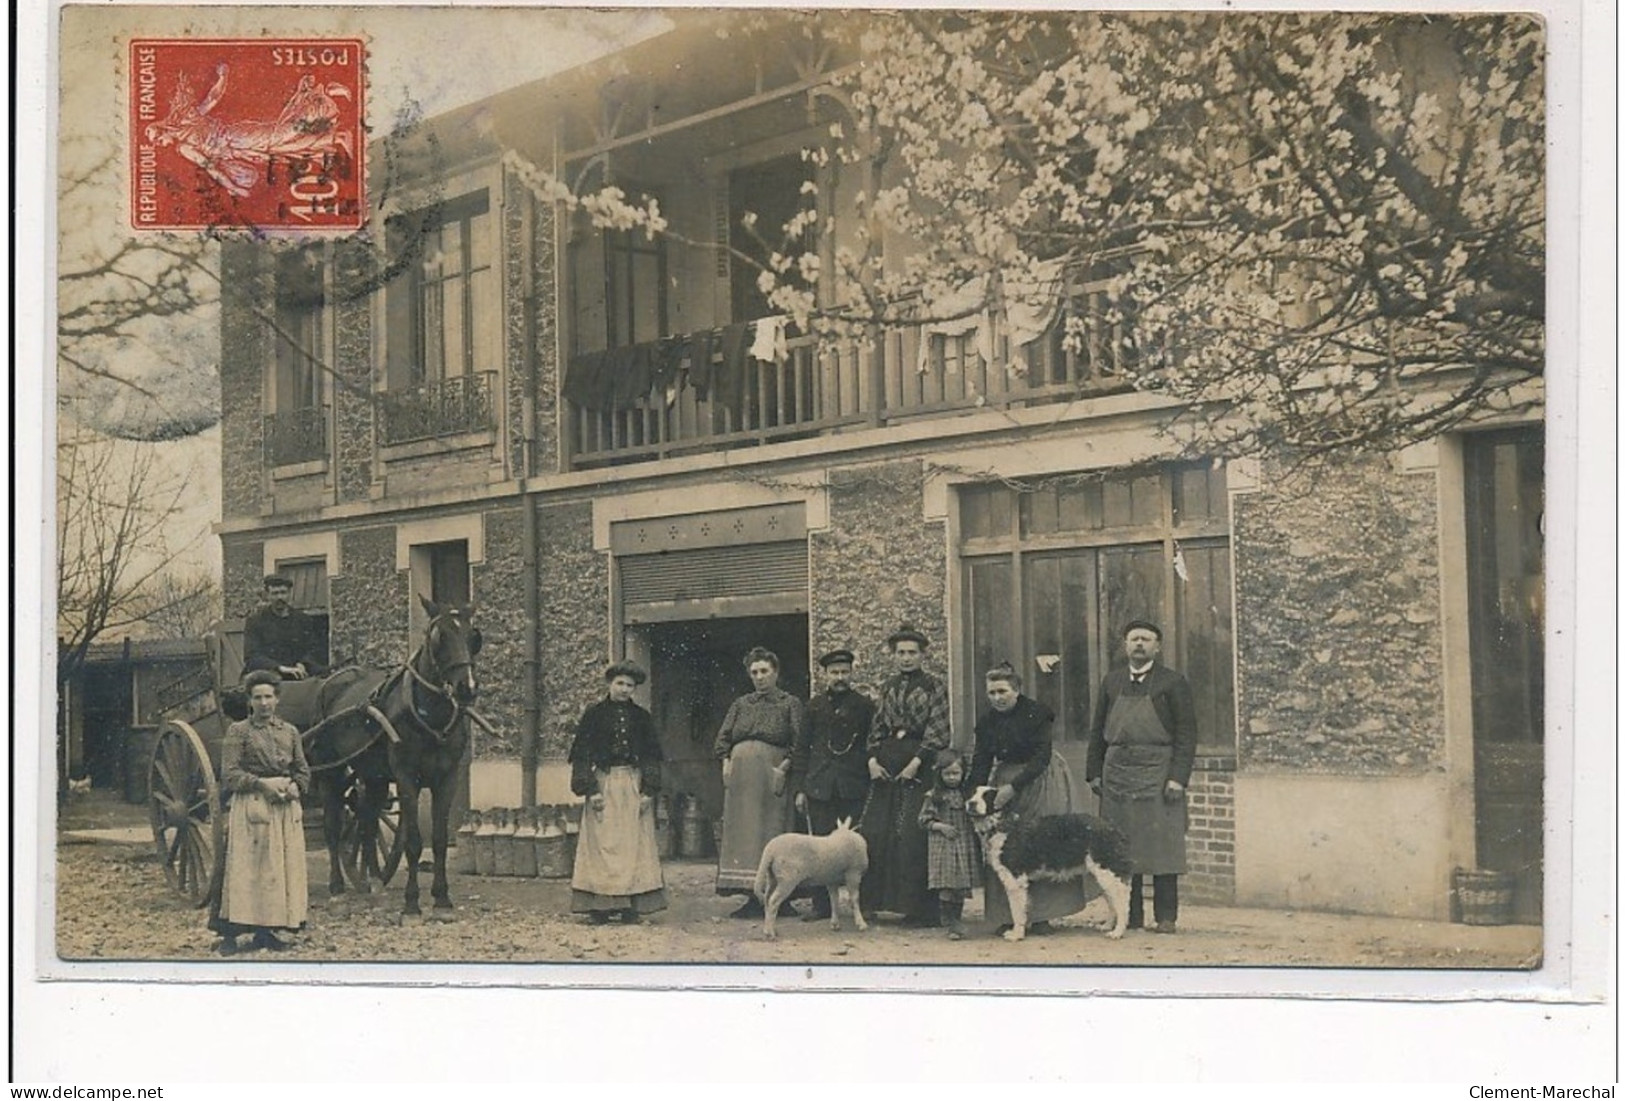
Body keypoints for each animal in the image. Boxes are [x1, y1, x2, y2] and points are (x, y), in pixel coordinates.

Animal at [300, 600, 481, 915]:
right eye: (439, 637)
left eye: (474, 636)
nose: (466, 687)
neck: (428, 715)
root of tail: (329, 681)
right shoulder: (407, 777)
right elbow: (413, 841)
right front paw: (411, 901)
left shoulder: (448, 778)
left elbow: (439, 838)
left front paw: (441, 897)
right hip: (329, 772)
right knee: (333, 826)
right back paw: (337, 885)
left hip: (373, 777)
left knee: (367, 822)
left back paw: (373, 881)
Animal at [962, 785, 1131, 948]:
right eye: (972, 793)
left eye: (987, 796)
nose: (971, 803)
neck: (1000, 825)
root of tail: (1111, 827)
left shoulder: (1015, 880)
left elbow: (1017, 911)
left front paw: (1017, 934)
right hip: (1102, 876)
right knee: (1113, 900)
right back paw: (1107, 926)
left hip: (1107, 873)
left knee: (1121, 901)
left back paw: (1118, 932)